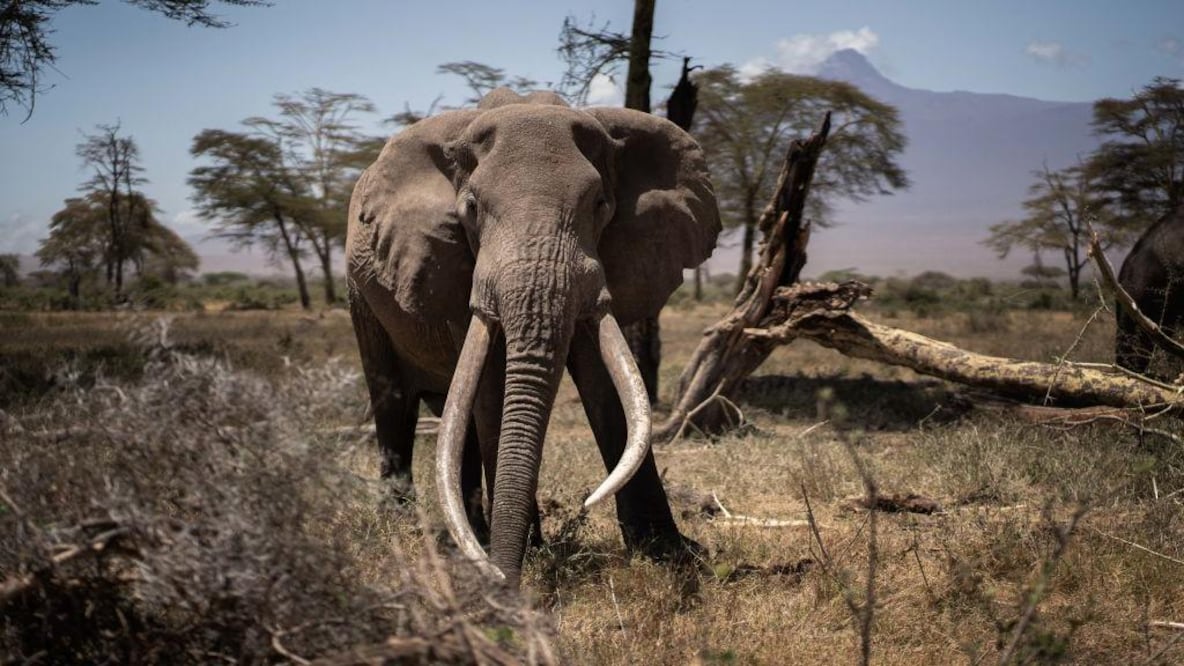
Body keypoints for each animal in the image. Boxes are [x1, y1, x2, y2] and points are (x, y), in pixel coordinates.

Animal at [346, 87, 721, 587]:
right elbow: (491, 386)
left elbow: (604, 382)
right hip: (360, 297)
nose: (508, 581)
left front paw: (668, 553)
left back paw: (475, 532)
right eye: (470, 208)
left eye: (599, 204)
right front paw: (523, 554)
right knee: (392, 402)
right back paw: (405, 526)